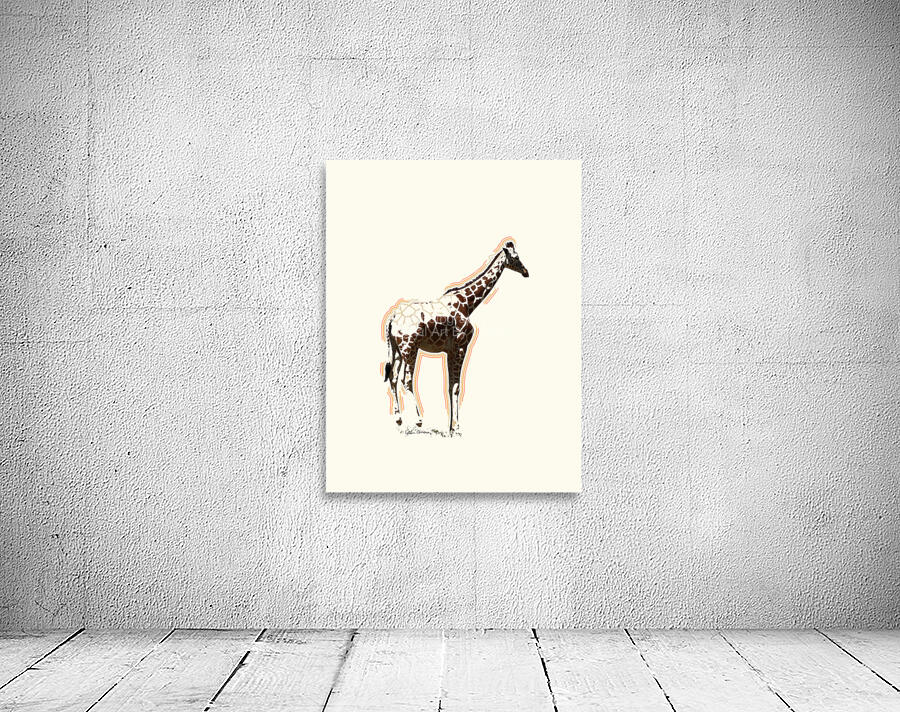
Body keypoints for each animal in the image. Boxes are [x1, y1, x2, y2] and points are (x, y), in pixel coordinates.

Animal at [382, 239, 529, 435]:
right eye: (516, 257)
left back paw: (399, 421)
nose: (526, 272)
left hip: (397, 349)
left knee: (393, 377)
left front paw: (450, 428)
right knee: (407, 380)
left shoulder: (450, 351)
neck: (468, 304)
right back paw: (418, 421)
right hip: (410, 347)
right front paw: (457, 428)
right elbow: (457, 387)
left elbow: (450, 385)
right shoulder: (461, 347)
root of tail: (392, 318)